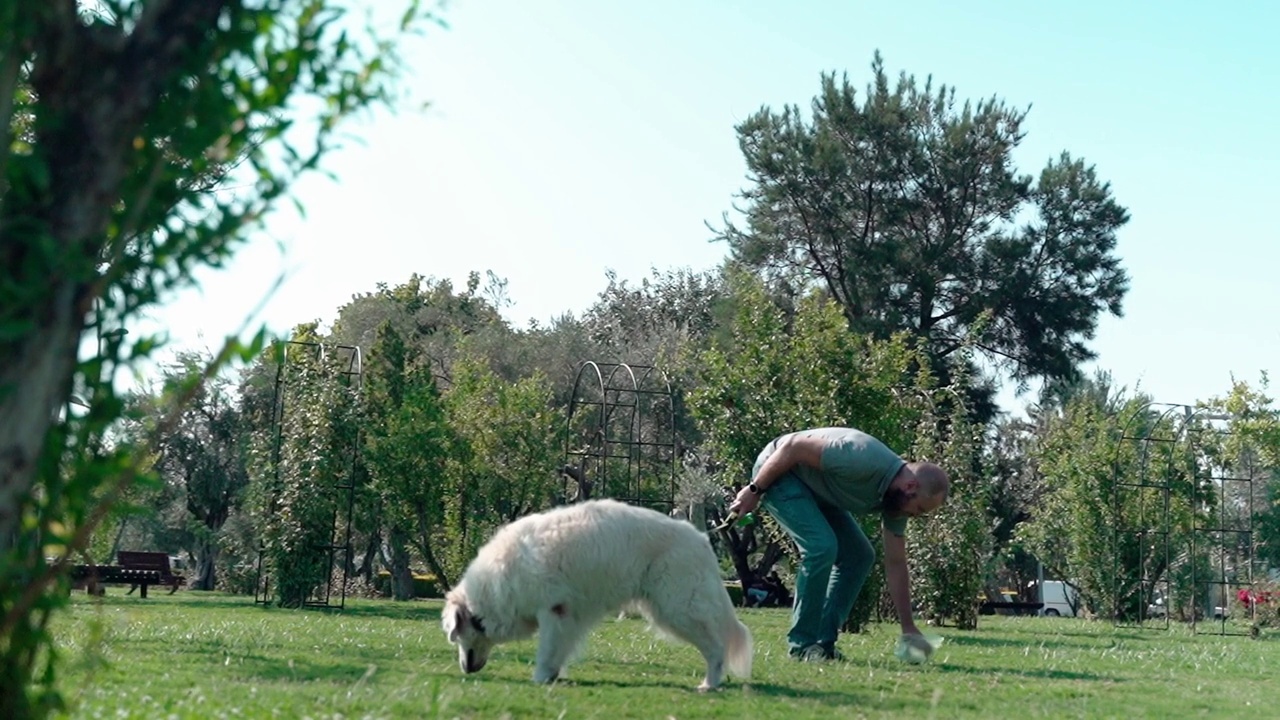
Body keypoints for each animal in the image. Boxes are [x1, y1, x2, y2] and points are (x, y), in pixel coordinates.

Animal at [445, 497, 752, 686]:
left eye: (456, 635)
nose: (464, 669)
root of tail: (701, 538)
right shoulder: (567, 618)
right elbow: (559, 651)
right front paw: (553, 676)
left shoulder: (554, 611)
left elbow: (547, 651)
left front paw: (541, 678)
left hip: (677, 610)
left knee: (716, 648)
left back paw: (709, 684)